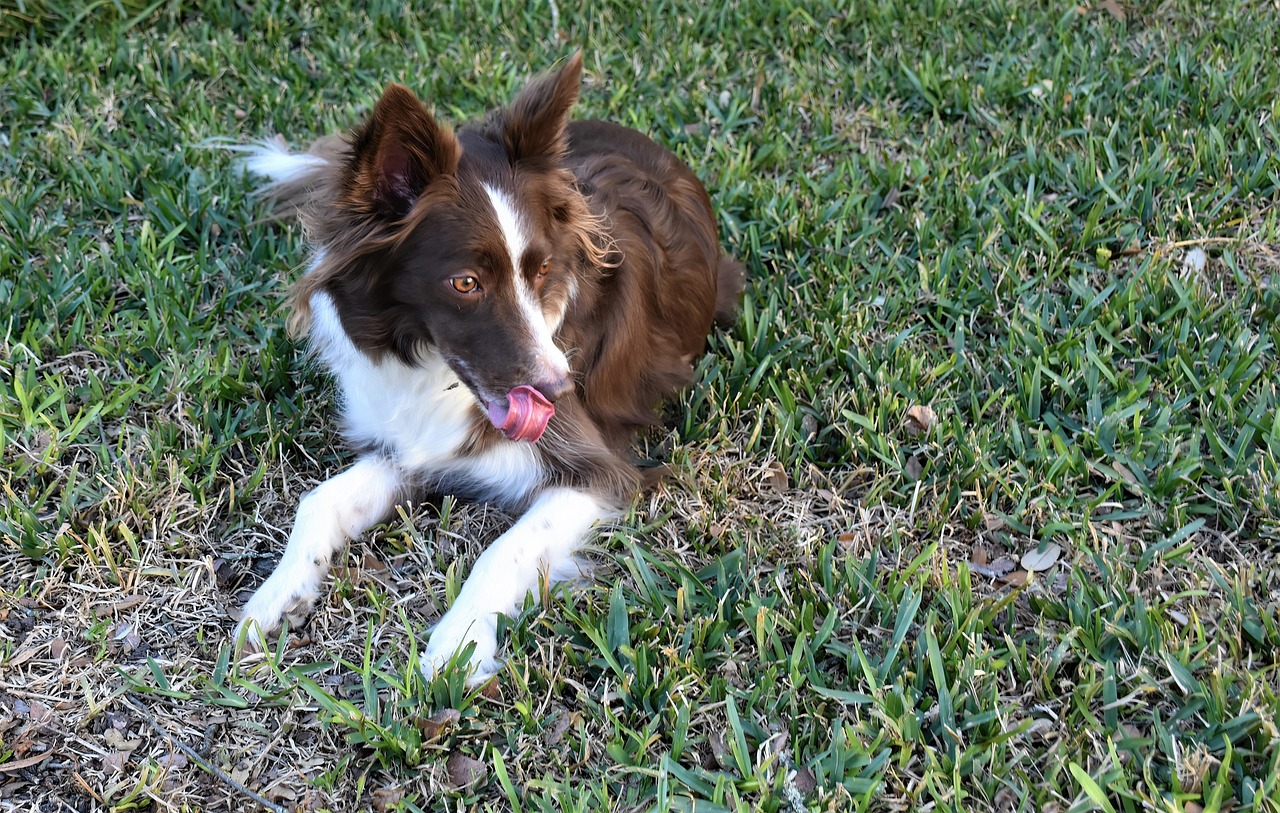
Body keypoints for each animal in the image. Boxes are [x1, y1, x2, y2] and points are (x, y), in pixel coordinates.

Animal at [235, 54, 747, 686]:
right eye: (465, 283)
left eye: (543, 270)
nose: (559, 389)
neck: (432, 368)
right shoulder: (407, 446)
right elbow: (319, 501)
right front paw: (277, 596)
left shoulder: (602, 471)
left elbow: (505, 547)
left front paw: (456, 646)